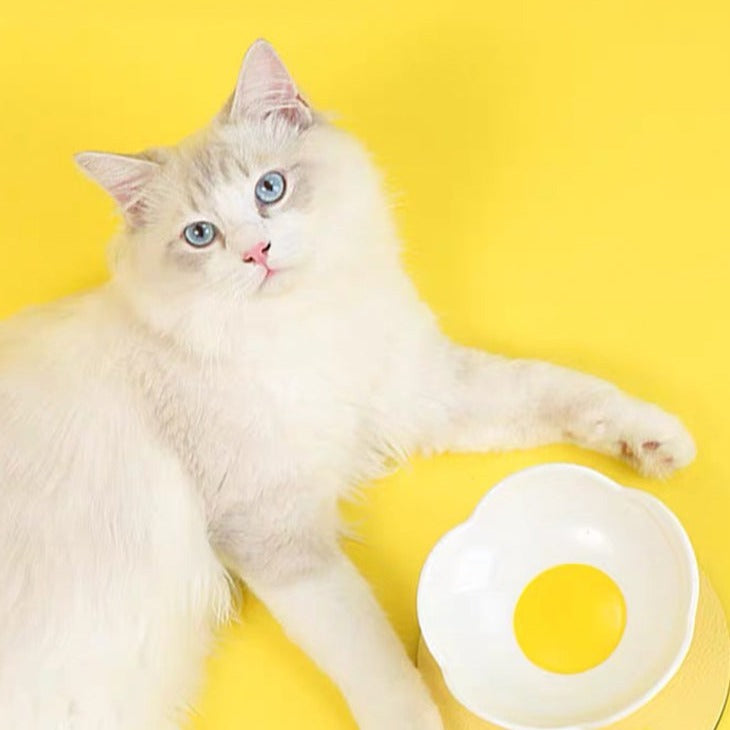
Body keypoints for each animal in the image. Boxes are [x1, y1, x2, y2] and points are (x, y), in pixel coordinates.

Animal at [0, 39, 692, 728]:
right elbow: (373, 657)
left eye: (270, 189)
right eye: (200, 235)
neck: (309, 329)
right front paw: (417, 719)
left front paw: (655, 444)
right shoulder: (274, 530)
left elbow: (562, 389)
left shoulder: (421, 390)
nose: (256, 252)